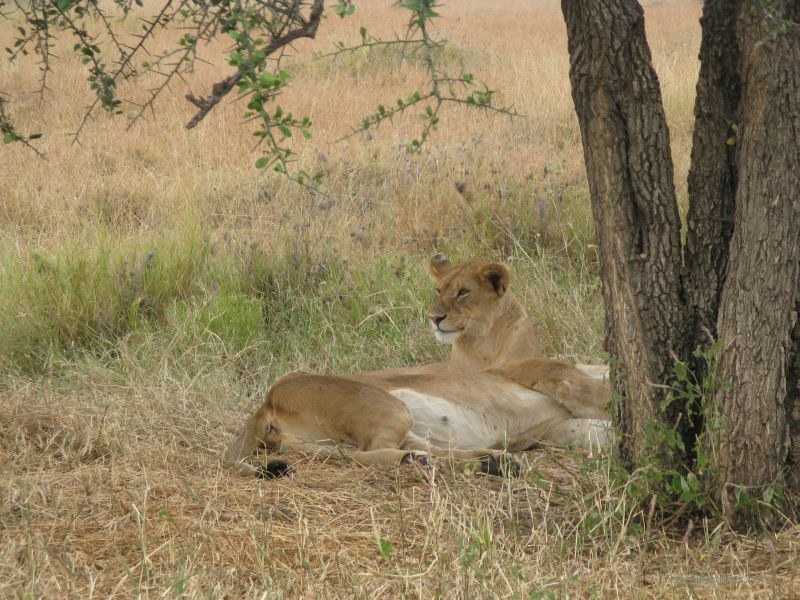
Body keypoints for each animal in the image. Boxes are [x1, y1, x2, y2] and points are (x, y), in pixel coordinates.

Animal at [224, 255, 612, 478]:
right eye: (440, 290)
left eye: (463, 292)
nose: (434, 317)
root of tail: (269, 397)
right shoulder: (521, 371)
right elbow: (576, 380)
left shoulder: (558, 426)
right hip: (387, 406)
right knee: (366, 454)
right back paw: (425, 462)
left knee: (422, 450)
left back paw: (490, 461)